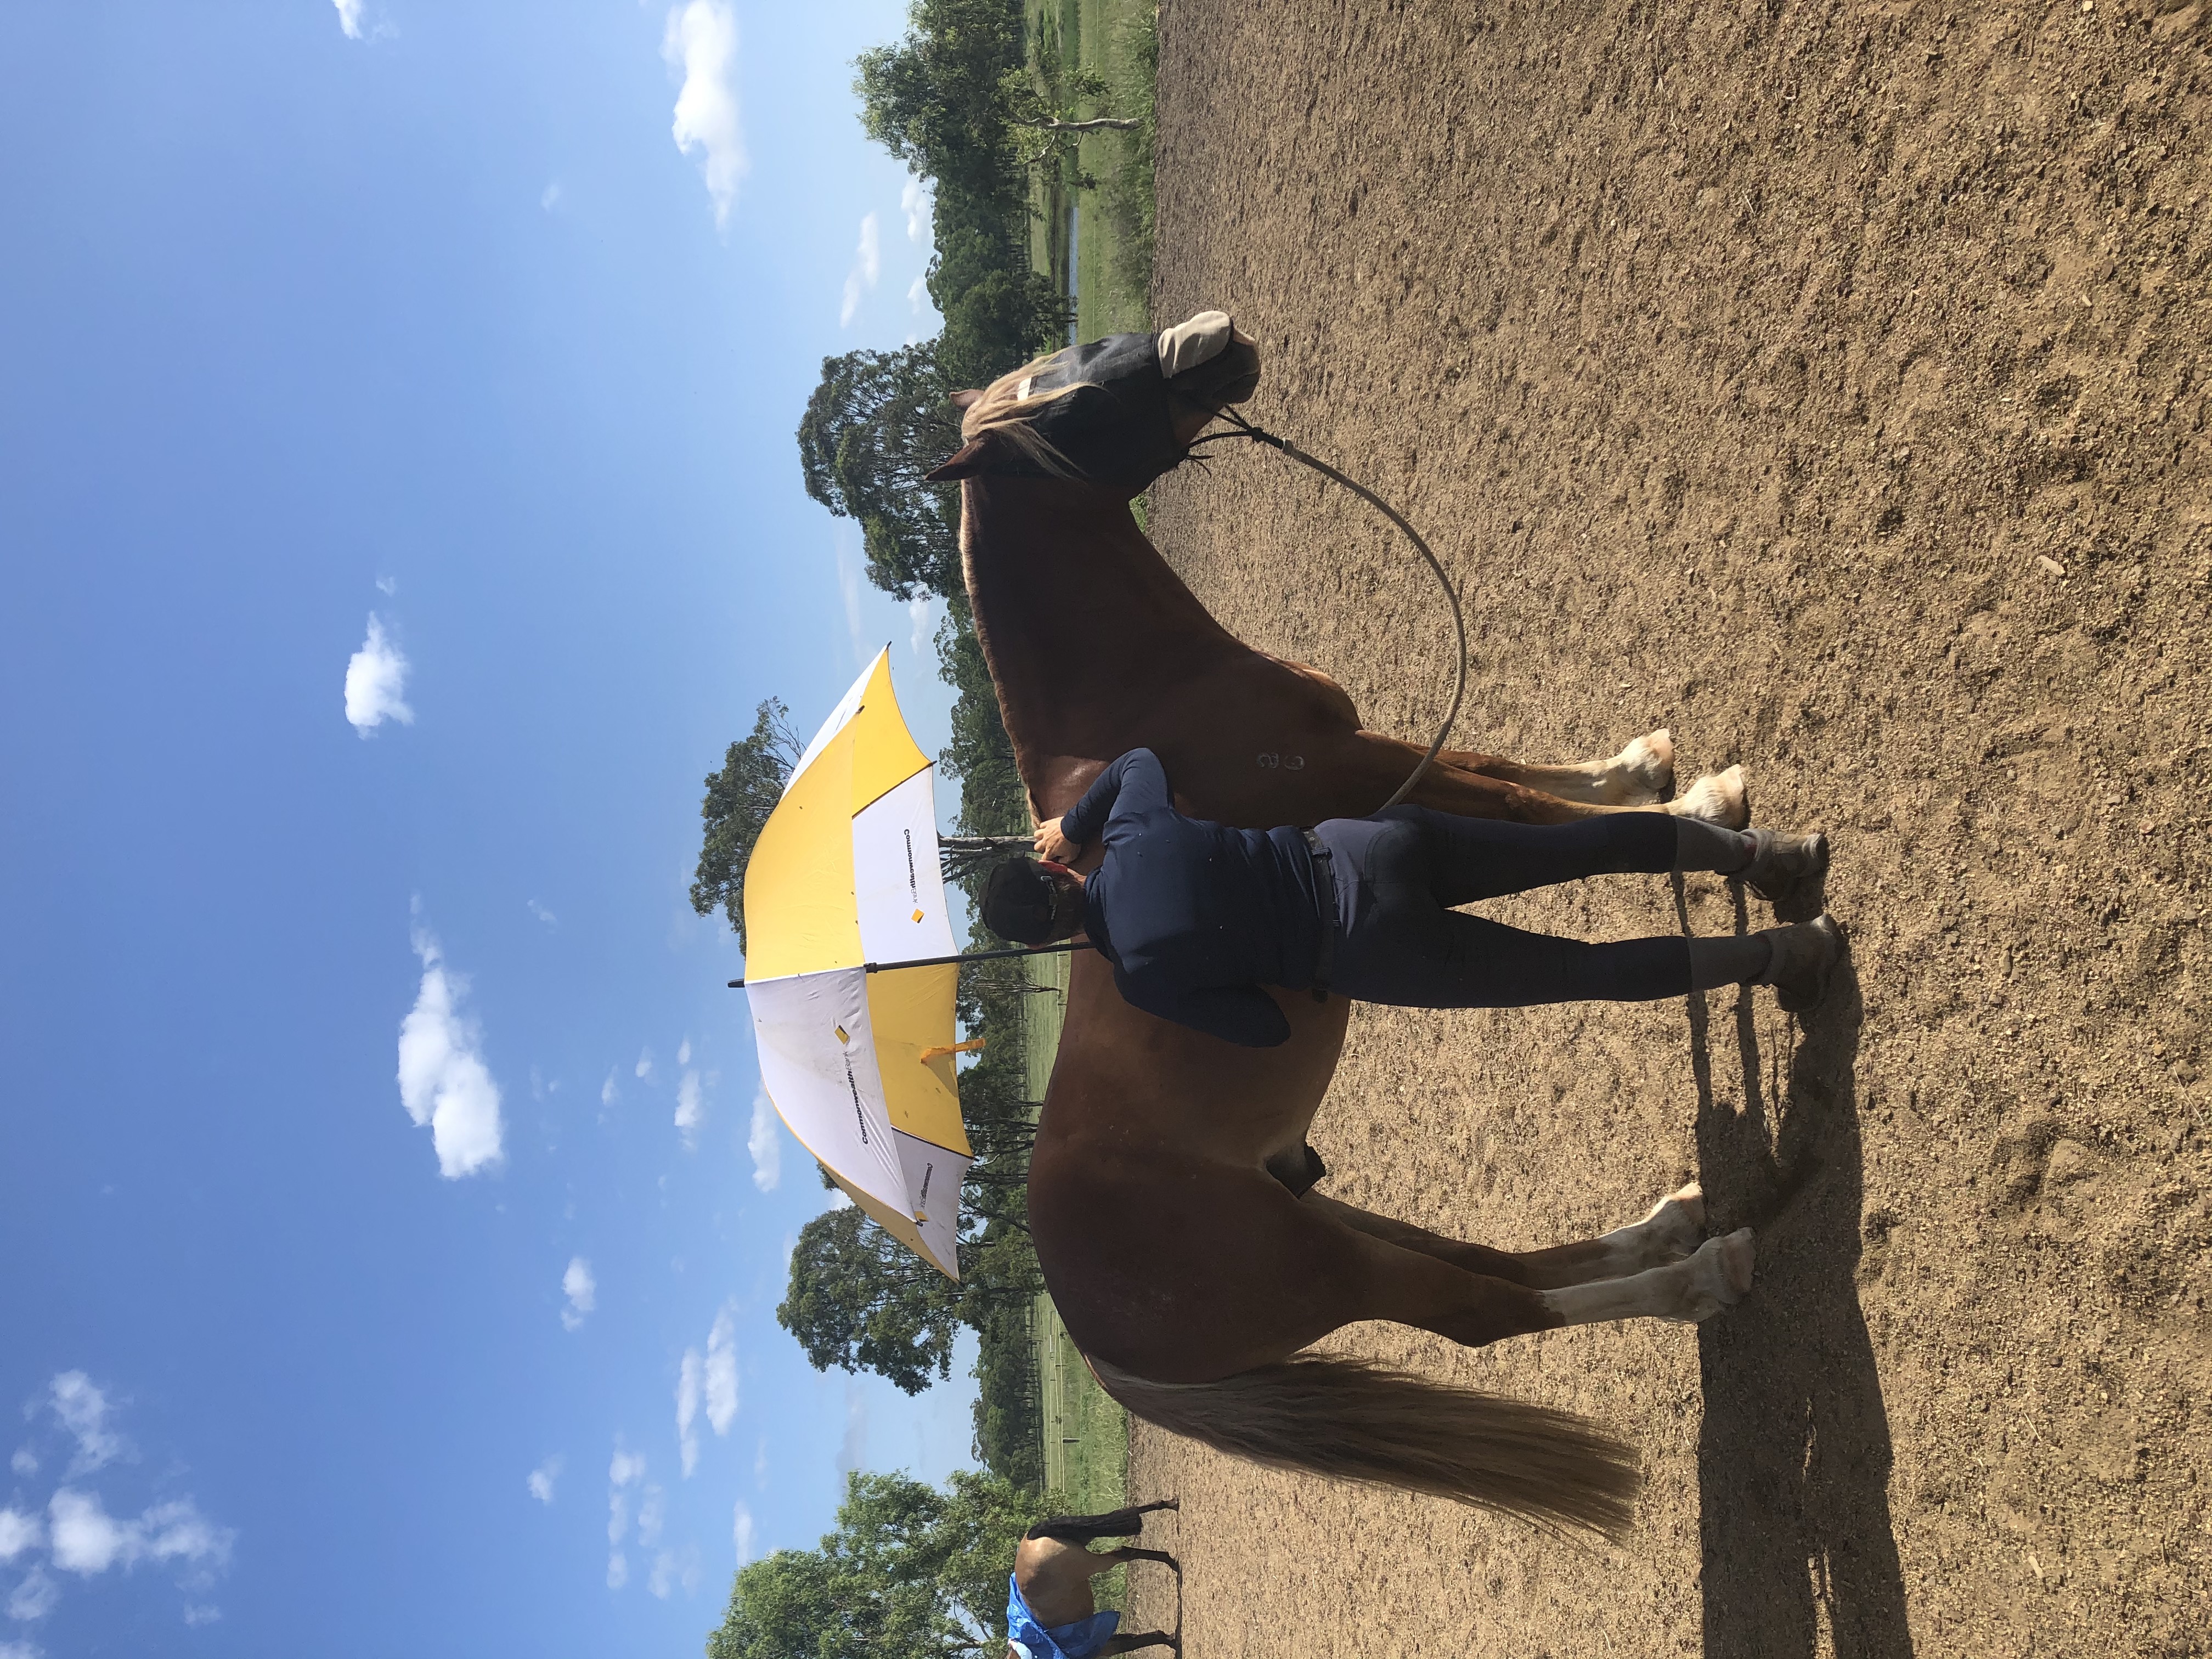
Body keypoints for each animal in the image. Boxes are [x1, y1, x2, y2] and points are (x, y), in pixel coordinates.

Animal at [926, 315, 1763, 1539]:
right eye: (1068, 411)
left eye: (1077, 358)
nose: (1210, 340)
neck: (1147, 707)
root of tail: (1094, 1340)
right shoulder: (1371, 783)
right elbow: (1520, 804)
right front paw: (1703, 808)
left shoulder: (1379, 757)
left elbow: (1504, 768)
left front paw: (1651, 770)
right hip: (1324, 1265)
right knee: (1478, 1312)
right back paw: (1695, 1277)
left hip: (1323, 1209)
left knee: (1485, 1263)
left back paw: (1665, 1227)